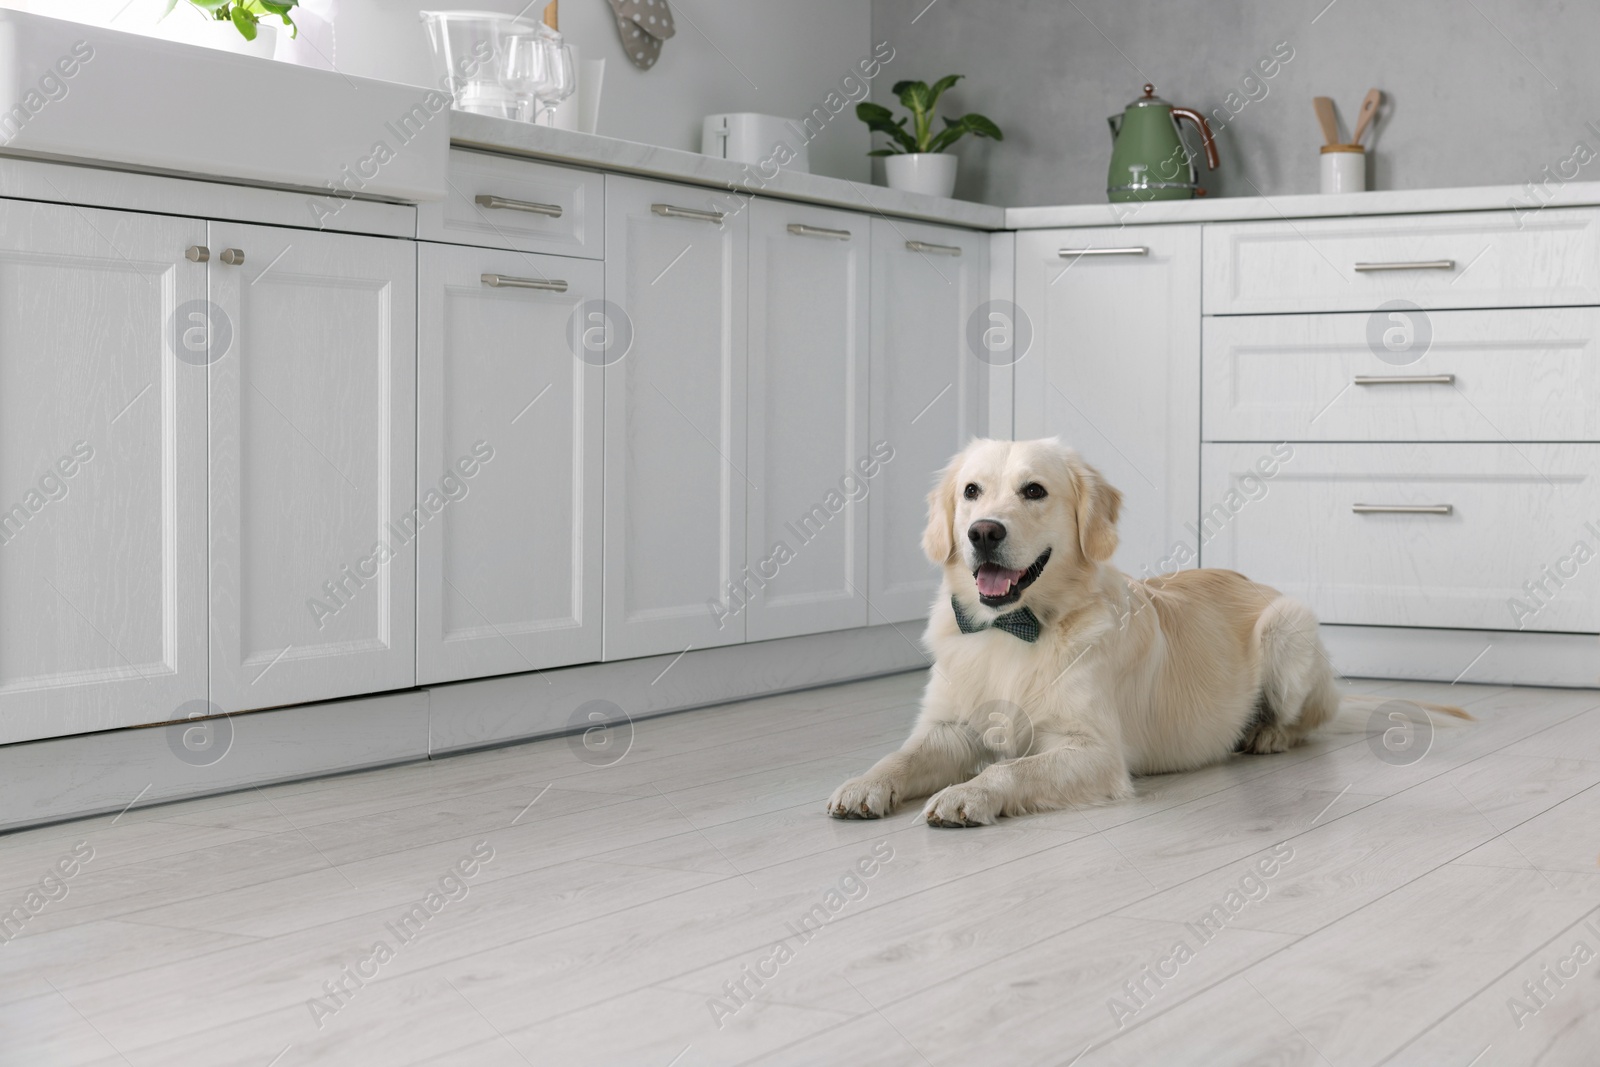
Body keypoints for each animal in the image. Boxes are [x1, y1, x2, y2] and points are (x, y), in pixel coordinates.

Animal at [832, 438, 1356, 831]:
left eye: (1034, 490)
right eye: (971, 491)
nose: (983, 532)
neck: (1013, 628)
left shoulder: (1094, 751)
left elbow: (1009, 767)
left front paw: (967, 792)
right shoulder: (949, 728)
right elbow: (901, 756)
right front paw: (864, 784)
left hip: (1287, 626)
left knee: (1307, 722)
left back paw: (1266, 733)